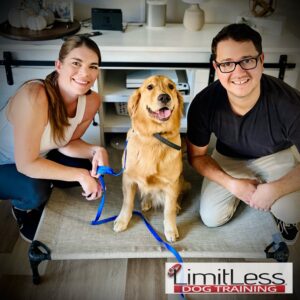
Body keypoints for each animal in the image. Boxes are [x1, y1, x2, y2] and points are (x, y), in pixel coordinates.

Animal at [113, 75, 189, 241]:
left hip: (181, 180)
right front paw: (123, 220)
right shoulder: (128, 179)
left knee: (178, 196)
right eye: (149, 87)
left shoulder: (171, 183)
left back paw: (177, 206)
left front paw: (170, 229)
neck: (155, 137)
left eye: (171, 86)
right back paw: (146, 202)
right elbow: (127, 203)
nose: (165, 97)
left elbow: (168, 210)